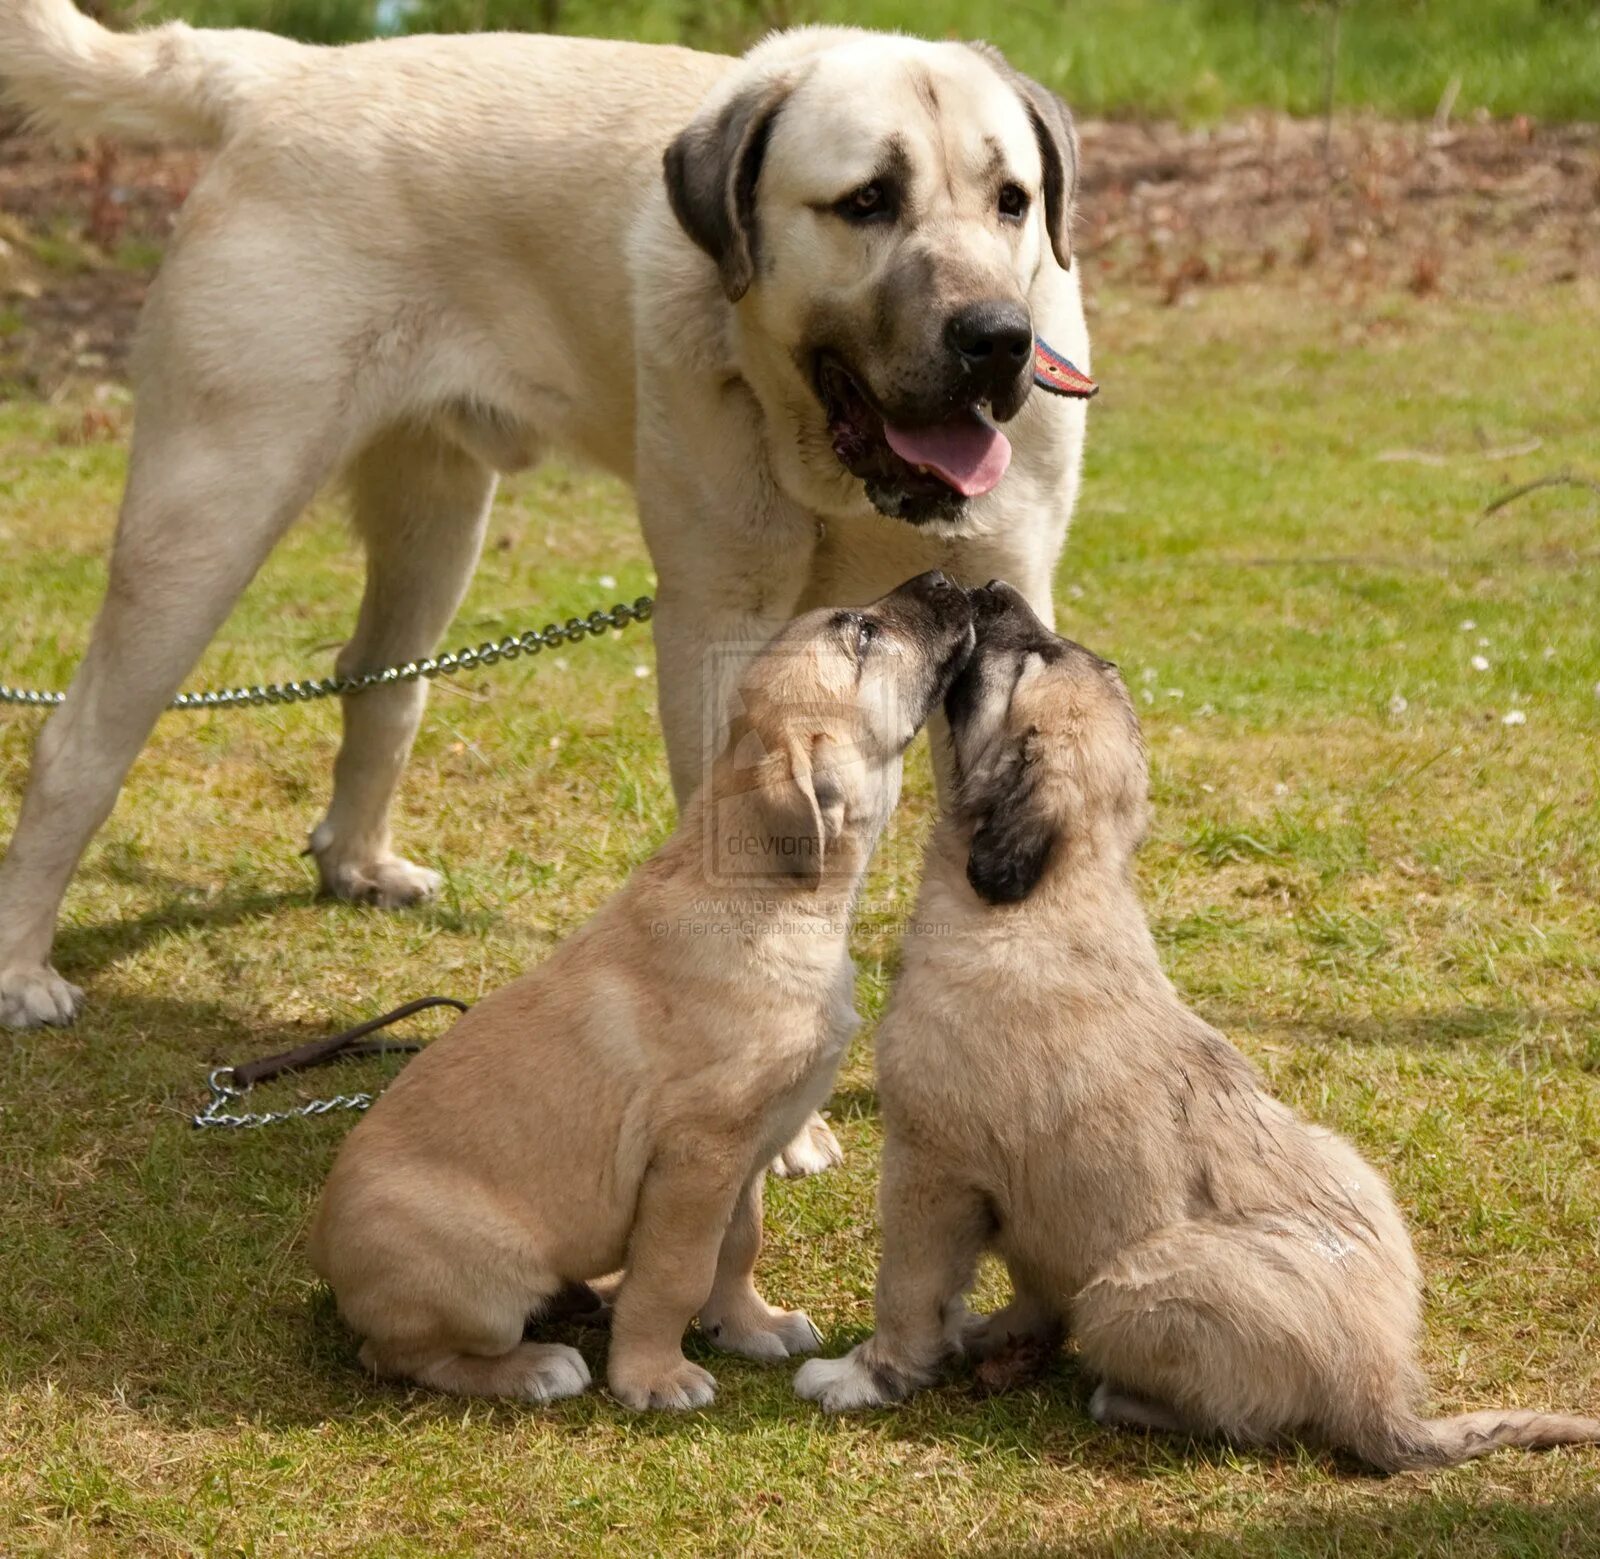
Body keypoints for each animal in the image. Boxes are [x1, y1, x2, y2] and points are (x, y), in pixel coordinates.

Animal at [0, 6, 1088, 1050]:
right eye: (866, 202)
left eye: (1012, 200)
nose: (998, 337)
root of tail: (288, 70)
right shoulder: (718, 622)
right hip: (212, 497)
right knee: (81, 740)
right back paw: (22, 967)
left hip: (435, 512)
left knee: (379, 675)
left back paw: (358, 862)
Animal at [305, 573, 966, 1414]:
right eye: (863, 634)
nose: (948, 581)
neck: (775, 901)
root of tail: (328, 1261)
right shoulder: (695, 1154)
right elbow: (675, 1273)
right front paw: (654, 1374)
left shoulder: (741, 1154)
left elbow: (736, 1245)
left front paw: (746, 1323)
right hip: (482, 1280)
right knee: (401, 1354)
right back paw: (533, 1366)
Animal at [796, 579, 1600, 1472]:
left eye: (1029, 657)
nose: (991, 588)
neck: (1049, 898)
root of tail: (1380, 1391)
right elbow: (1024, 1288)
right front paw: (989, 1334)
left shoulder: (928, 1166)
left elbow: (907, 1291)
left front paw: (863, 1375)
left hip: (1128, 1286)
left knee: (1237, 1417)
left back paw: (1122, 1398)